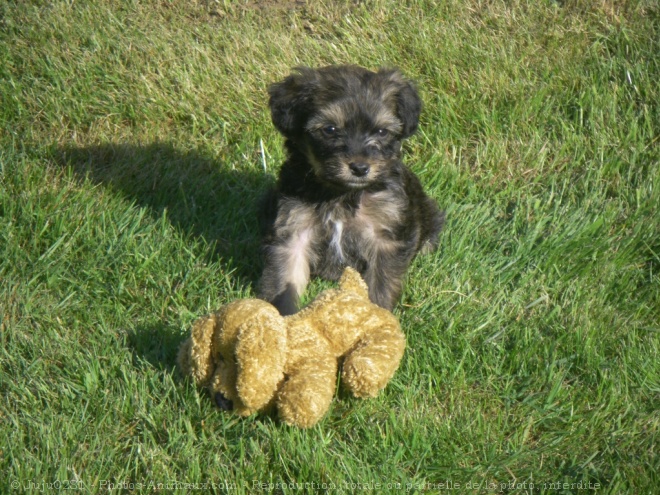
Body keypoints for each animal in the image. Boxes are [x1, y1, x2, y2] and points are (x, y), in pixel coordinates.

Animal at [258, 64, 444, 316]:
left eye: (382, 132)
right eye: (330, 129)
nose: (360, 168)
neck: (340, 194)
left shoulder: (385, 238)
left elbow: (380, 286)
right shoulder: (292, 230)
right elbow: (283, 283)